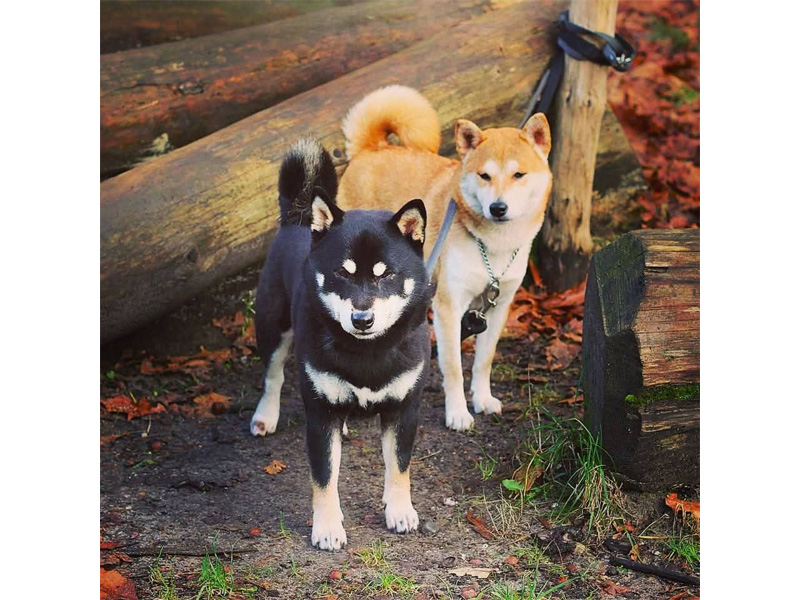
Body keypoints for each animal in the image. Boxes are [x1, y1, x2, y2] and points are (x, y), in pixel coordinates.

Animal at [250, 139, 432, 550]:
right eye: (341, 273)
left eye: (386, 275)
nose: (361, 319)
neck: (367, 353)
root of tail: (298, 218)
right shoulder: (320, 417)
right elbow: (324, 479)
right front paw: (328, 527)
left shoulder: (404, 409)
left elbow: (399, 466)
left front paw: (400, 510)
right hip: (272, 327)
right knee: (272, 377)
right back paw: (265, 415)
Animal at [338, 86, 552, 431]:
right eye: (484, 176)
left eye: (518, 174)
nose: (498, 208)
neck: (492, 246)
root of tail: (370, 149)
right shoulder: (449, 306)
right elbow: (452, 367)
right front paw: (458, 412)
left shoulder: (499, 305)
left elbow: (483, 361)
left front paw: (482, 399)